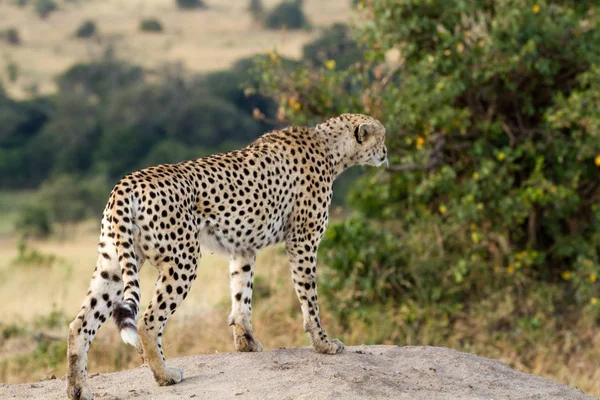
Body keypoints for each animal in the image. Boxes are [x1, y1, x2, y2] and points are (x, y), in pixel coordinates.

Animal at [64, 111, 384, 396]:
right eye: (381, 136)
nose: (386, 153)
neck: (331, 148)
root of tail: (127, 181)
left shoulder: (243, 247)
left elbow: (242, 294)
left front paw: (246, 342)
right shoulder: (303, 241)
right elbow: (310, 299)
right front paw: (324, 344)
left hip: (113, 265)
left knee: (80, 324)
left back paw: (78, 389)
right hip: (183, 260)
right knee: (148, 320)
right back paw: (166, 375)